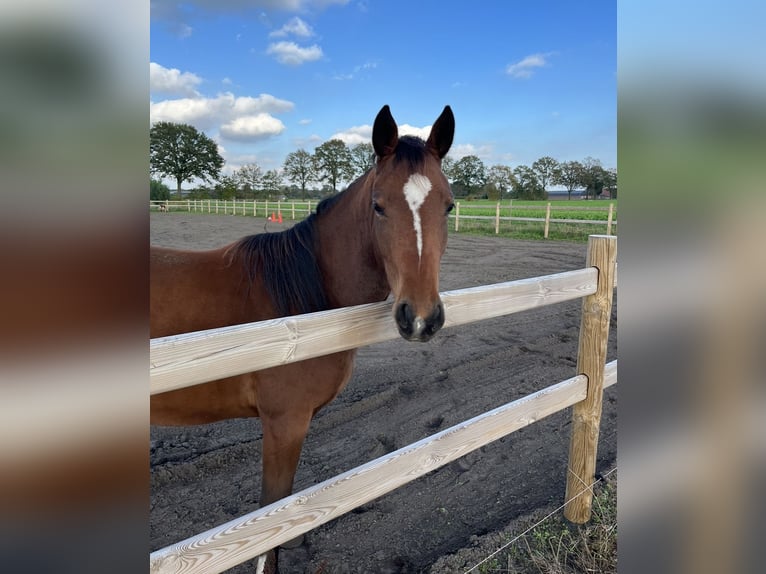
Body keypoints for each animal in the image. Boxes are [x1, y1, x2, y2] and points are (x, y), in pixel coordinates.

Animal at [150, 104, 456, 572]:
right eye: (378, 206)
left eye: (449, 206)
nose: (420, 318)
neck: (301, 301)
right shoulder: (285, 422)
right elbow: (270, 516)